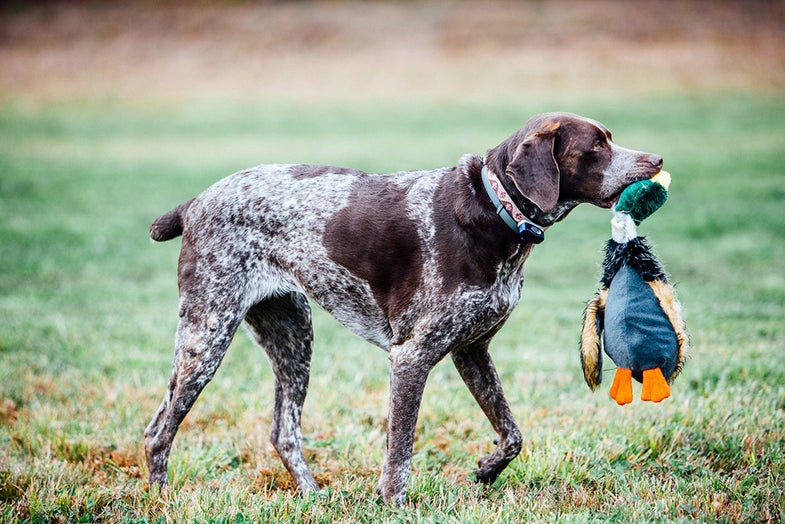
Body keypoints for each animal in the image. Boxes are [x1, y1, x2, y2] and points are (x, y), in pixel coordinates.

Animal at [145, 111, 660, 504]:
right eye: (597, 145)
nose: (655, 160)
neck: (496, 211)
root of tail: (195, 202)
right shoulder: (411, 357)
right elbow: (400, 451)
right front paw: (393, 502)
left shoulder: (471, 351)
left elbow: (513, 434)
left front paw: (487, 469)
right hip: (207, 337)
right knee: (158, 431)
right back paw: (162, 499)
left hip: (293, 334)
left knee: (284, 432)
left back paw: (312, 497)